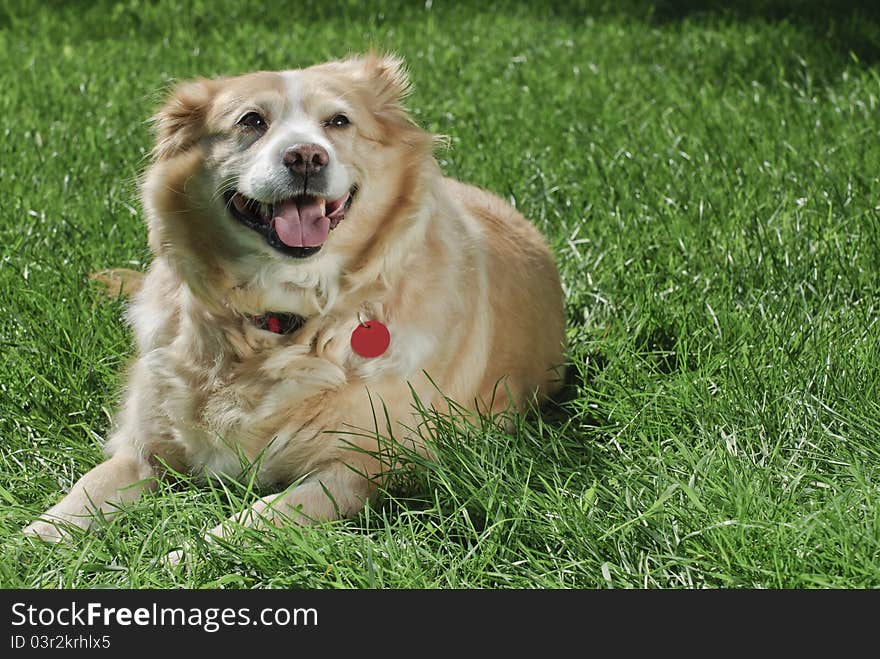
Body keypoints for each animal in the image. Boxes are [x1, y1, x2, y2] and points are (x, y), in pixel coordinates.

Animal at [25, 55, 572, 552]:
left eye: (338, 121)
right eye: (251, 121)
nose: (306, 157)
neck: (282, 318)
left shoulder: (358, 470)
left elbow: (249, 522)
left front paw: (181, 558)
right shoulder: (143, 449)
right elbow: (82, 493)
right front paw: (33, 541)